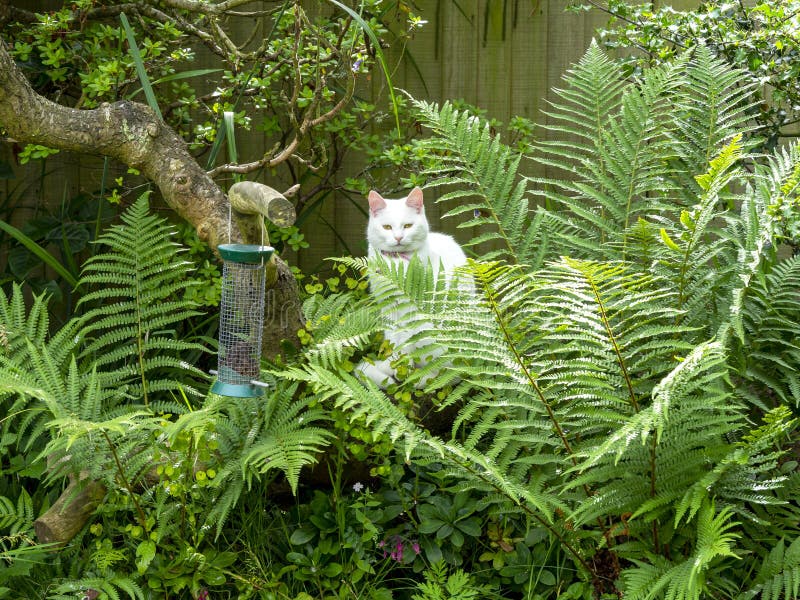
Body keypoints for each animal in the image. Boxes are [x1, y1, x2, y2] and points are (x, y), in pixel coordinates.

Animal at [358, 188, 468, 390]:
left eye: (408, 226)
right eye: (387, 227)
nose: (398, 238)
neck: (395, 261)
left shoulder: (409, 309)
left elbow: (405, 343)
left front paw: (403, 369)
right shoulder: (388, 307)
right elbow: (394, 340)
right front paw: (393, 366)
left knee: (446, 374)